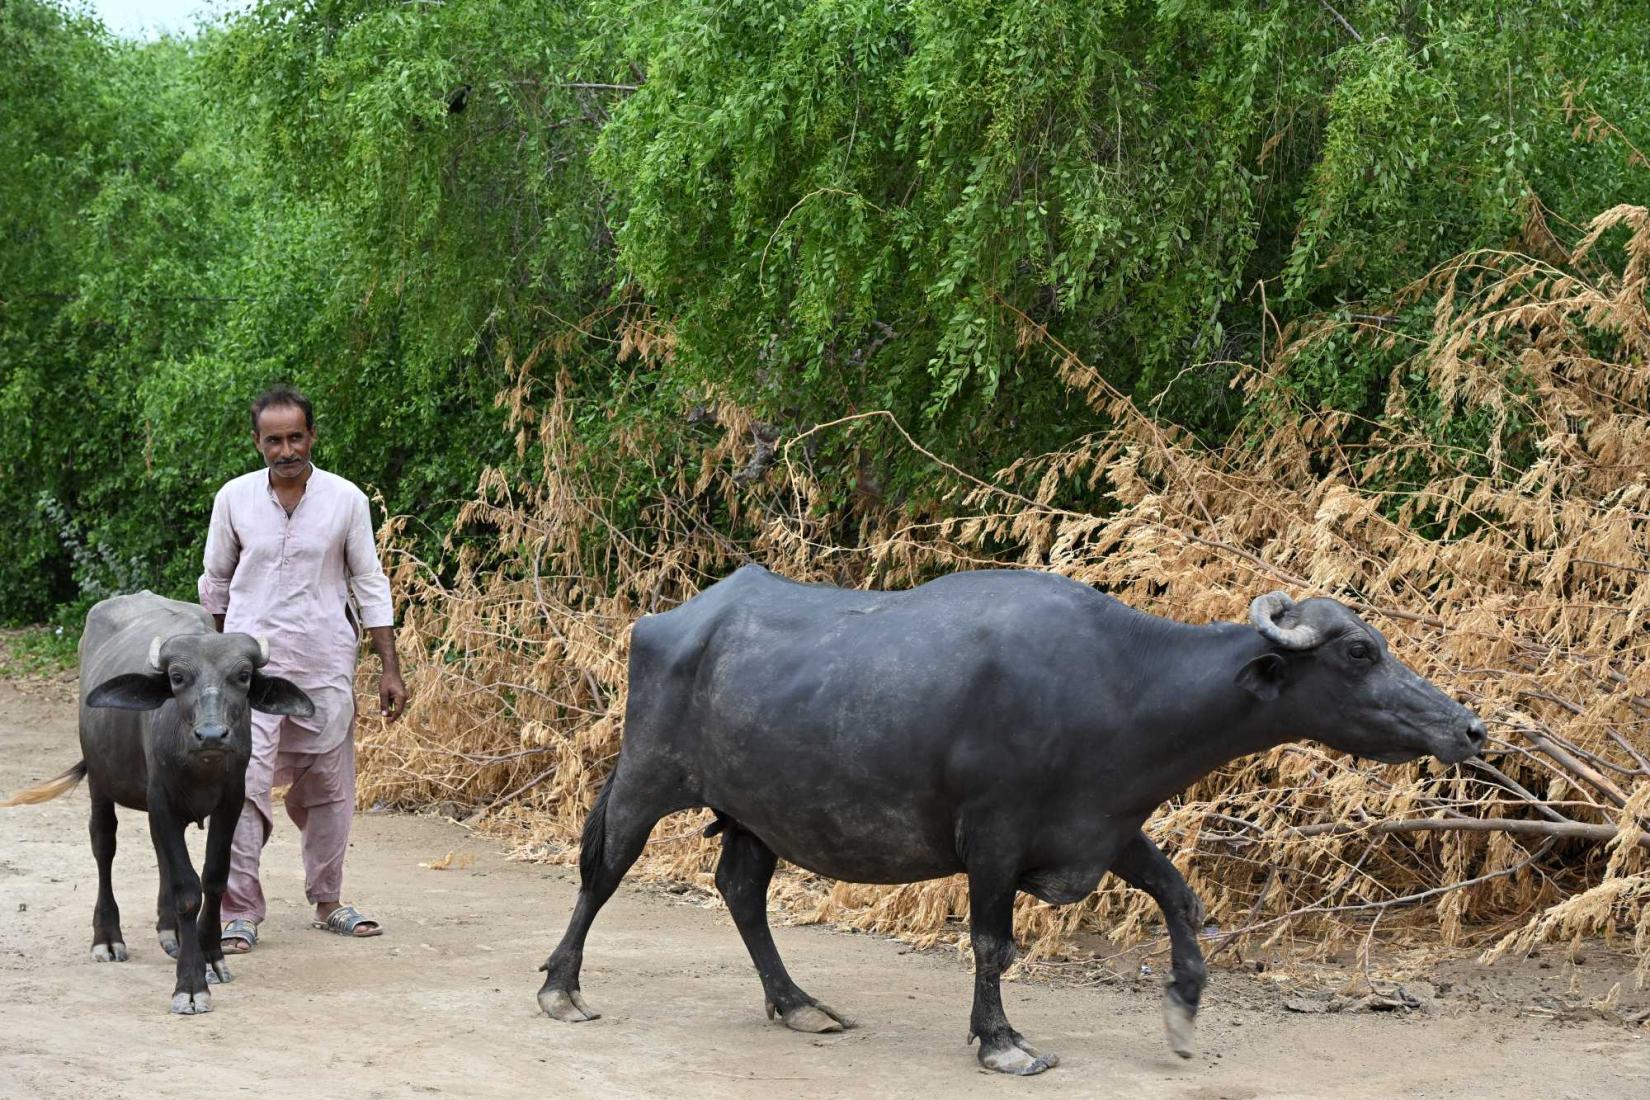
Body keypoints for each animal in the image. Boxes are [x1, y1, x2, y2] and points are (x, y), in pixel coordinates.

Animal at [536, 566, 1485, 1074]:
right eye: (1358, 651)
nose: (1469, 727)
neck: (1116, 687)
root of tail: (674, 619)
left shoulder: (1102, 824)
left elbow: (1180, 896)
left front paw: (1183, 1010)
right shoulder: (992, 838)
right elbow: (993, 942)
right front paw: (1002, 1042)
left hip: (754, 815)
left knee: (740, 891)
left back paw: (798, 1004)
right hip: (647, 777)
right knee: (602, 872)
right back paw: (562, 989)